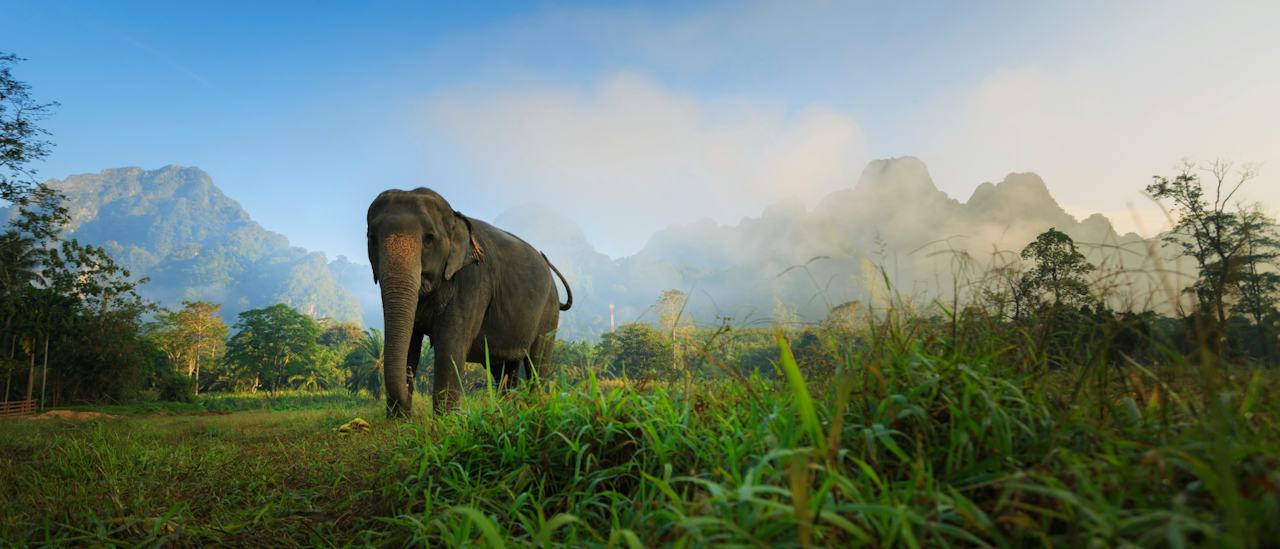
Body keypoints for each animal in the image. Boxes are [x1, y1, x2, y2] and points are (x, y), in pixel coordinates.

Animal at [367, 188, 572, 417]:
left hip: (549, 314)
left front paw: (445, 421)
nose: (409, 375)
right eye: (372, 238)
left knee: (537, 363)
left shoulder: (473, 283)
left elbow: (450, 345)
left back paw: (533, 409)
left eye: (429, 239)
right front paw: (398, 421)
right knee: (504, 370)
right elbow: (411, 340)